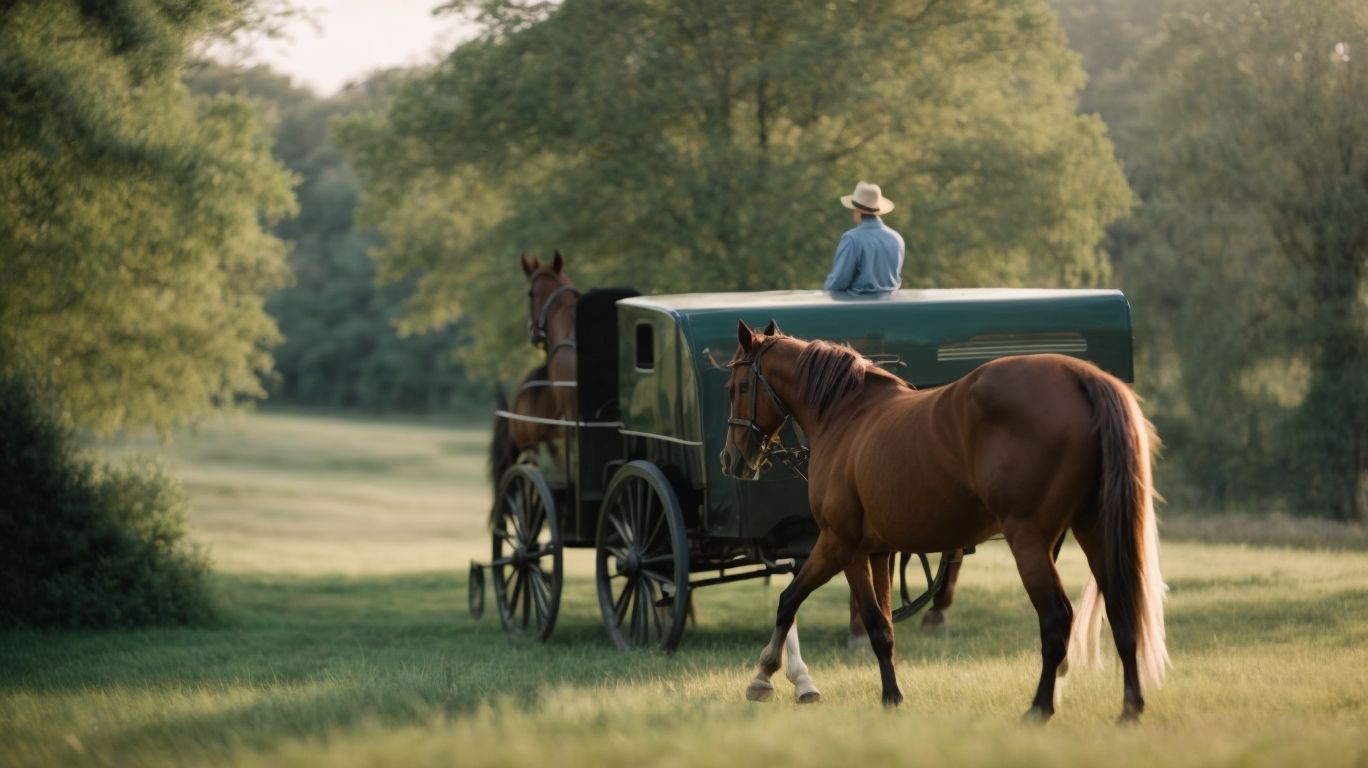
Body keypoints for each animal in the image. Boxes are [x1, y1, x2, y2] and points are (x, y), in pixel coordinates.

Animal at [720, 320, 1167, 723]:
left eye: (737, 387)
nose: (732, 458)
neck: (846, 415)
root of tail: (1079, 376)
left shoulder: (839, 544)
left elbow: (793, 601)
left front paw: (764, 676)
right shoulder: (878, 552)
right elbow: (883, 629)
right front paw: (891, 696)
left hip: (1029, 541)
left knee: (1057, 619)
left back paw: (1040, 707)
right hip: (1094, 532)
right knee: (1122, 611)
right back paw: (1130, 707)